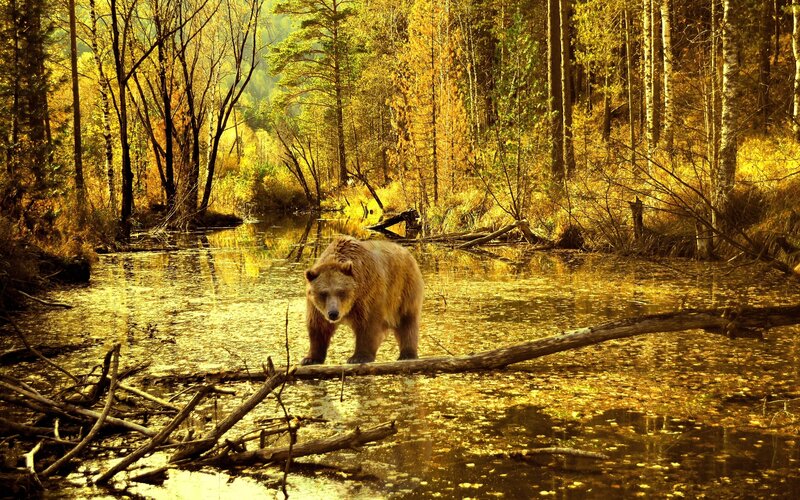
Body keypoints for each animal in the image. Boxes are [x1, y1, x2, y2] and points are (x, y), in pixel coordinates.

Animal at [302, 235, 424, 365]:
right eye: (323, 293)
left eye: (341, 292)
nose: (333, 313)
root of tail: (406, 251)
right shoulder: (317, 307)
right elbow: (318, 327)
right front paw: (309, 358)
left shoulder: (367, 293)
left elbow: (368, 324)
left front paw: (358, 357)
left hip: (403, 288)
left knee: (407, 320)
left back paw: (407, 354)